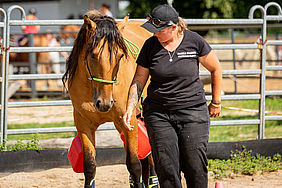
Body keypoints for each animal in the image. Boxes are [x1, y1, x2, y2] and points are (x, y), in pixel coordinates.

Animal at [62, 10, 158, 188]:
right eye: (93, 55)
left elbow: (134, 165)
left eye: (120, 56)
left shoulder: (129, 122)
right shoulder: (83, 123)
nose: (104, 103)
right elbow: (89, 166)